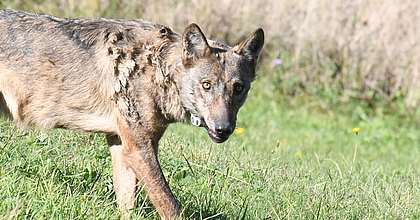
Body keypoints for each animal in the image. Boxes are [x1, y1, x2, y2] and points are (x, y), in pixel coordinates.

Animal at [0, 9, 262, 219]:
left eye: (239, 88)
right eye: (206, 85)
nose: (223, 129)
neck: (157, 69)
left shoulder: (122, 144)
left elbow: (127, 204)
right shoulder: (138, 148)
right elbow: (170, 207)